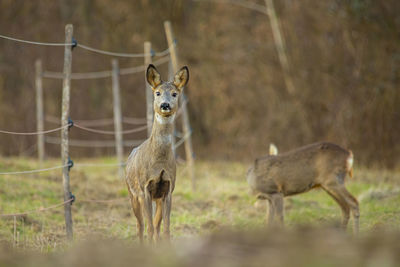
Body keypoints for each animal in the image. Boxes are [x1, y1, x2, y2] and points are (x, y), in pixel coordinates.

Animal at [126, 63, 189, 244]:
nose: (165, 105)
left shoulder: (168, 188)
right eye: (157, 93)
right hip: (132, 193)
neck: (159, 161)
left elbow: (164, 228)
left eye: (174, 93)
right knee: (140, 225)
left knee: (156, 225)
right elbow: (149, 228)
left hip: (157, 198)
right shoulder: (144, 188)